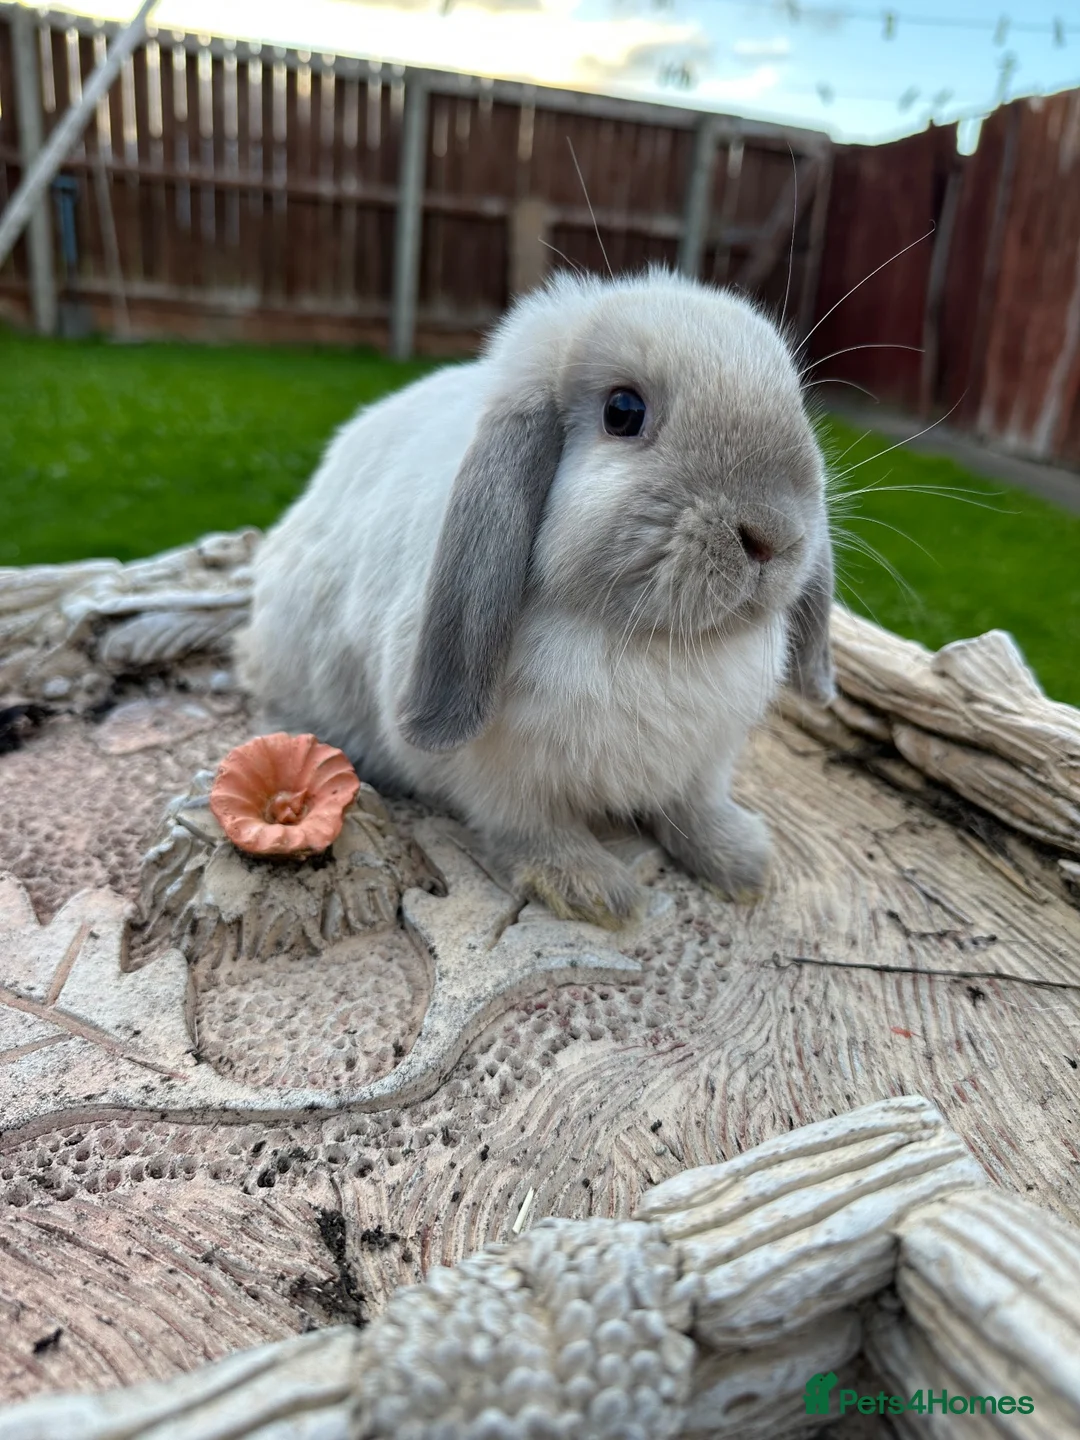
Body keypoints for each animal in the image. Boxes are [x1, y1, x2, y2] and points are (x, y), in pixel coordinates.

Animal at [236, 266, 834, 929]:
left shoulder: (703, 761)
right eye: (623, 411)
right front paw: (594, 891)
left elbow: (693, 807)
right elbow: (534, 828)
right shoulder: (498, 778)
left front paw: (742, 861)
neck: (656, 642)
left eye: (797, 403)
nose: (773, 536)